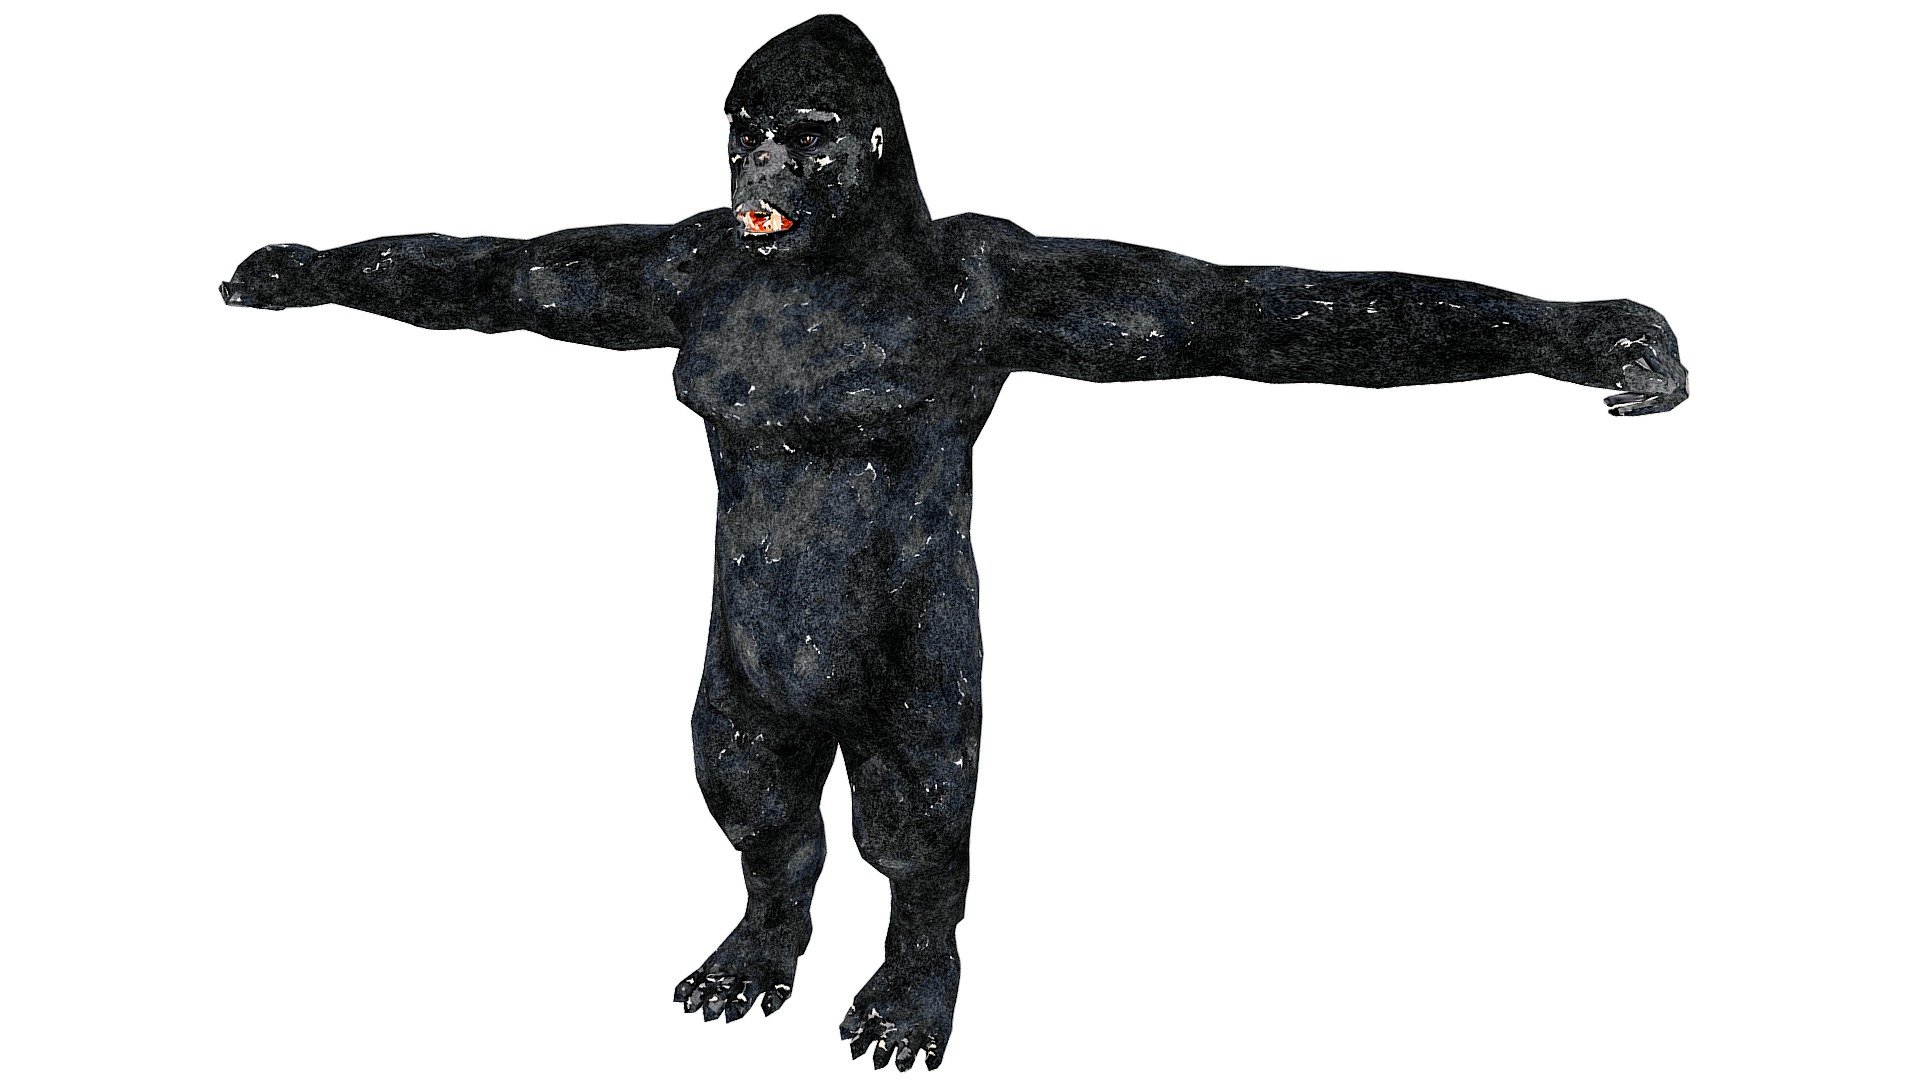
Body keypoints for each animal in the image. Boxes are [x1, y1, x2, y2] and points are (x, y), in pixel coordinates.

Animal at [219, 14, 1687, 1071]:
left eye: (804, 133)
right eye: (743, 133)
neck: (833, 258)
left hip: (920, 695)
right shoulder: (667, 264)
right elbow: (505, 268)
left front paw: (1604, 335)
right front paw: (287, 269)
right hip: (738, 702)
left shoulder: (1020, 278)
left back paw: (912, 985)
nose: (755, 171)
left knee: (915, 823)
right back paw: (762, 942)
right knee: (758, 798)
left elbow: (1259, 308)